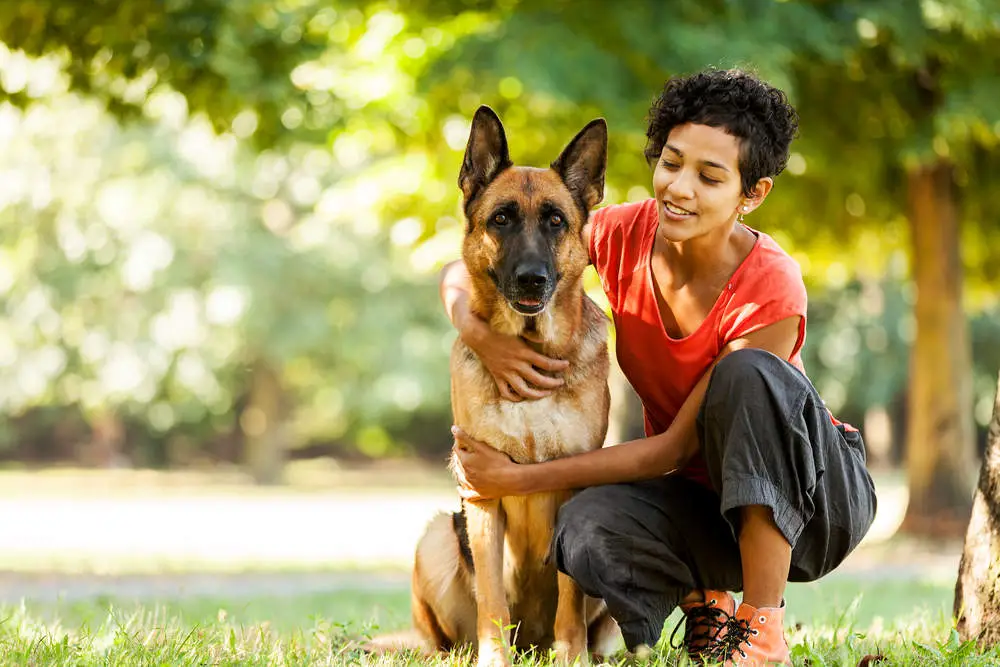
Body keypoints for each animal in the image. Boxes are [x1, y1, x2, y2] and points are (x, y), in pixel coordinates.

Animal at [398, 109, 616, 667]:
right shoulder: (482, 495)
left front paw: (572, 655)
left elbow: (569, 597)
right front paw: (493, 658)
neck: (531, 347)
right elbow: (492, 597)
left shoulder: (572, 484)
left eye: (556, 221)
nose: (532, 279)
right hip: (436, 537)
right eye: (501, 219)